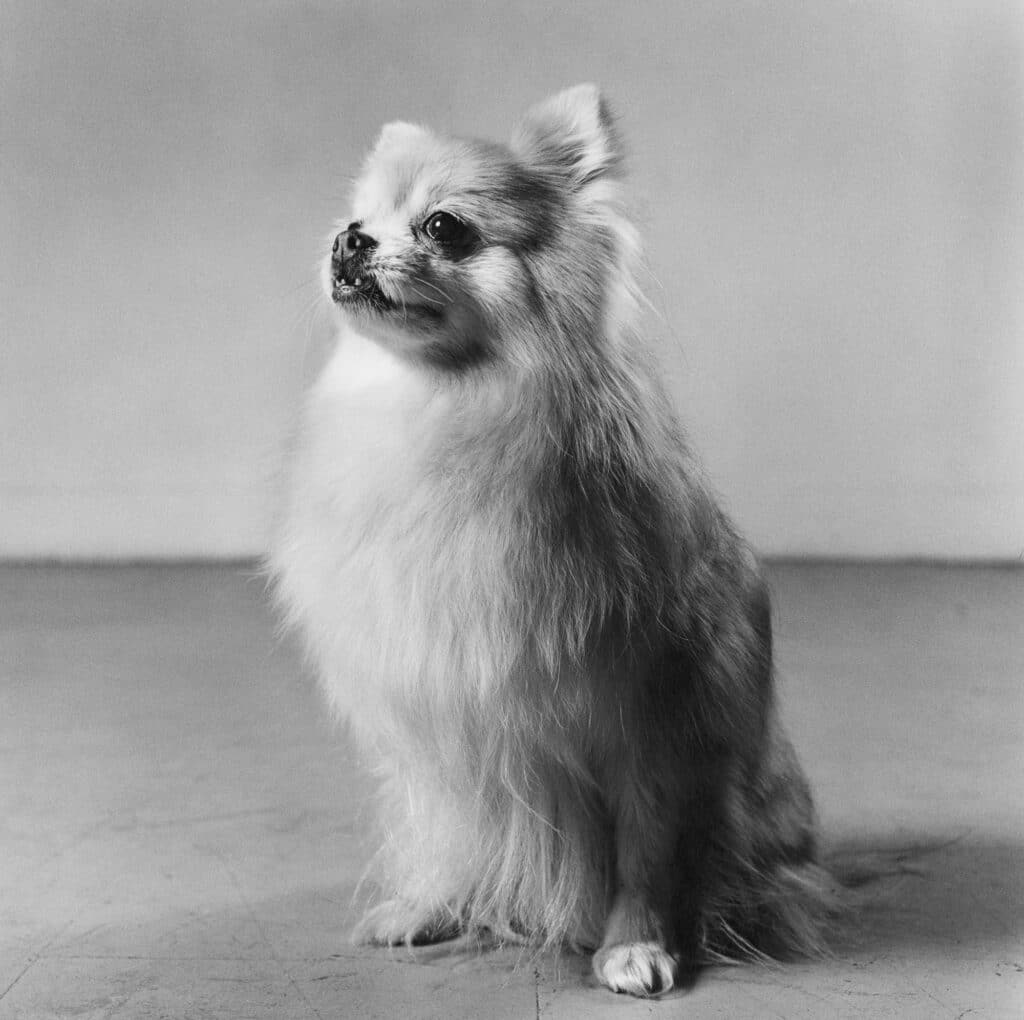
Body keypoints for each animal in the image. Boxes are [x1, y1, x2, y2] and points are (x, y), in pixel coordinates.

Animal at [270, 85, 831, 995]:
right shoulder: (438, 710)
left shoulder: (653, 719)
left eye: (444, 227)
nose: (348, 239)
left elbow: (646, 850)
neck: (441, 405)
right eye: (358, 216)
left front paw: (637, 945)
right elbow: (444, 823)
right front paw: (429, 904)